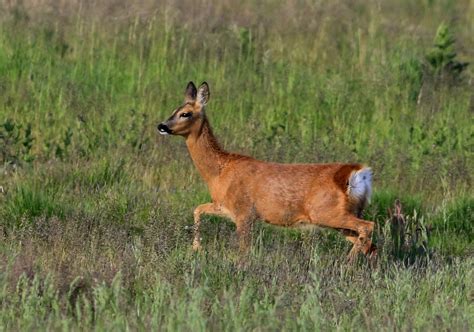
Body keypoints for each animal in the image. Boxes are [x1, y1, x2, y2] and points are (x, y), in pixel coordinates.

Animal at [157, 81, 376, 260]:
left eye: (185, 113)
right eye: (173, 110)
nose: (162, 126)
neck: (219, 172)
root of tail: (358, 173)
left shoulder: (244, 212)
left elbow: (244, 250)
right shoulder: (223, 207)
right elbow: (197, 209)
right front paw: (196, 248)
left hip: (328, 213)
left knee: (368, 227)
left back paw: (347, 263)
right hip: (338, 217)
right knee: (369, 244)